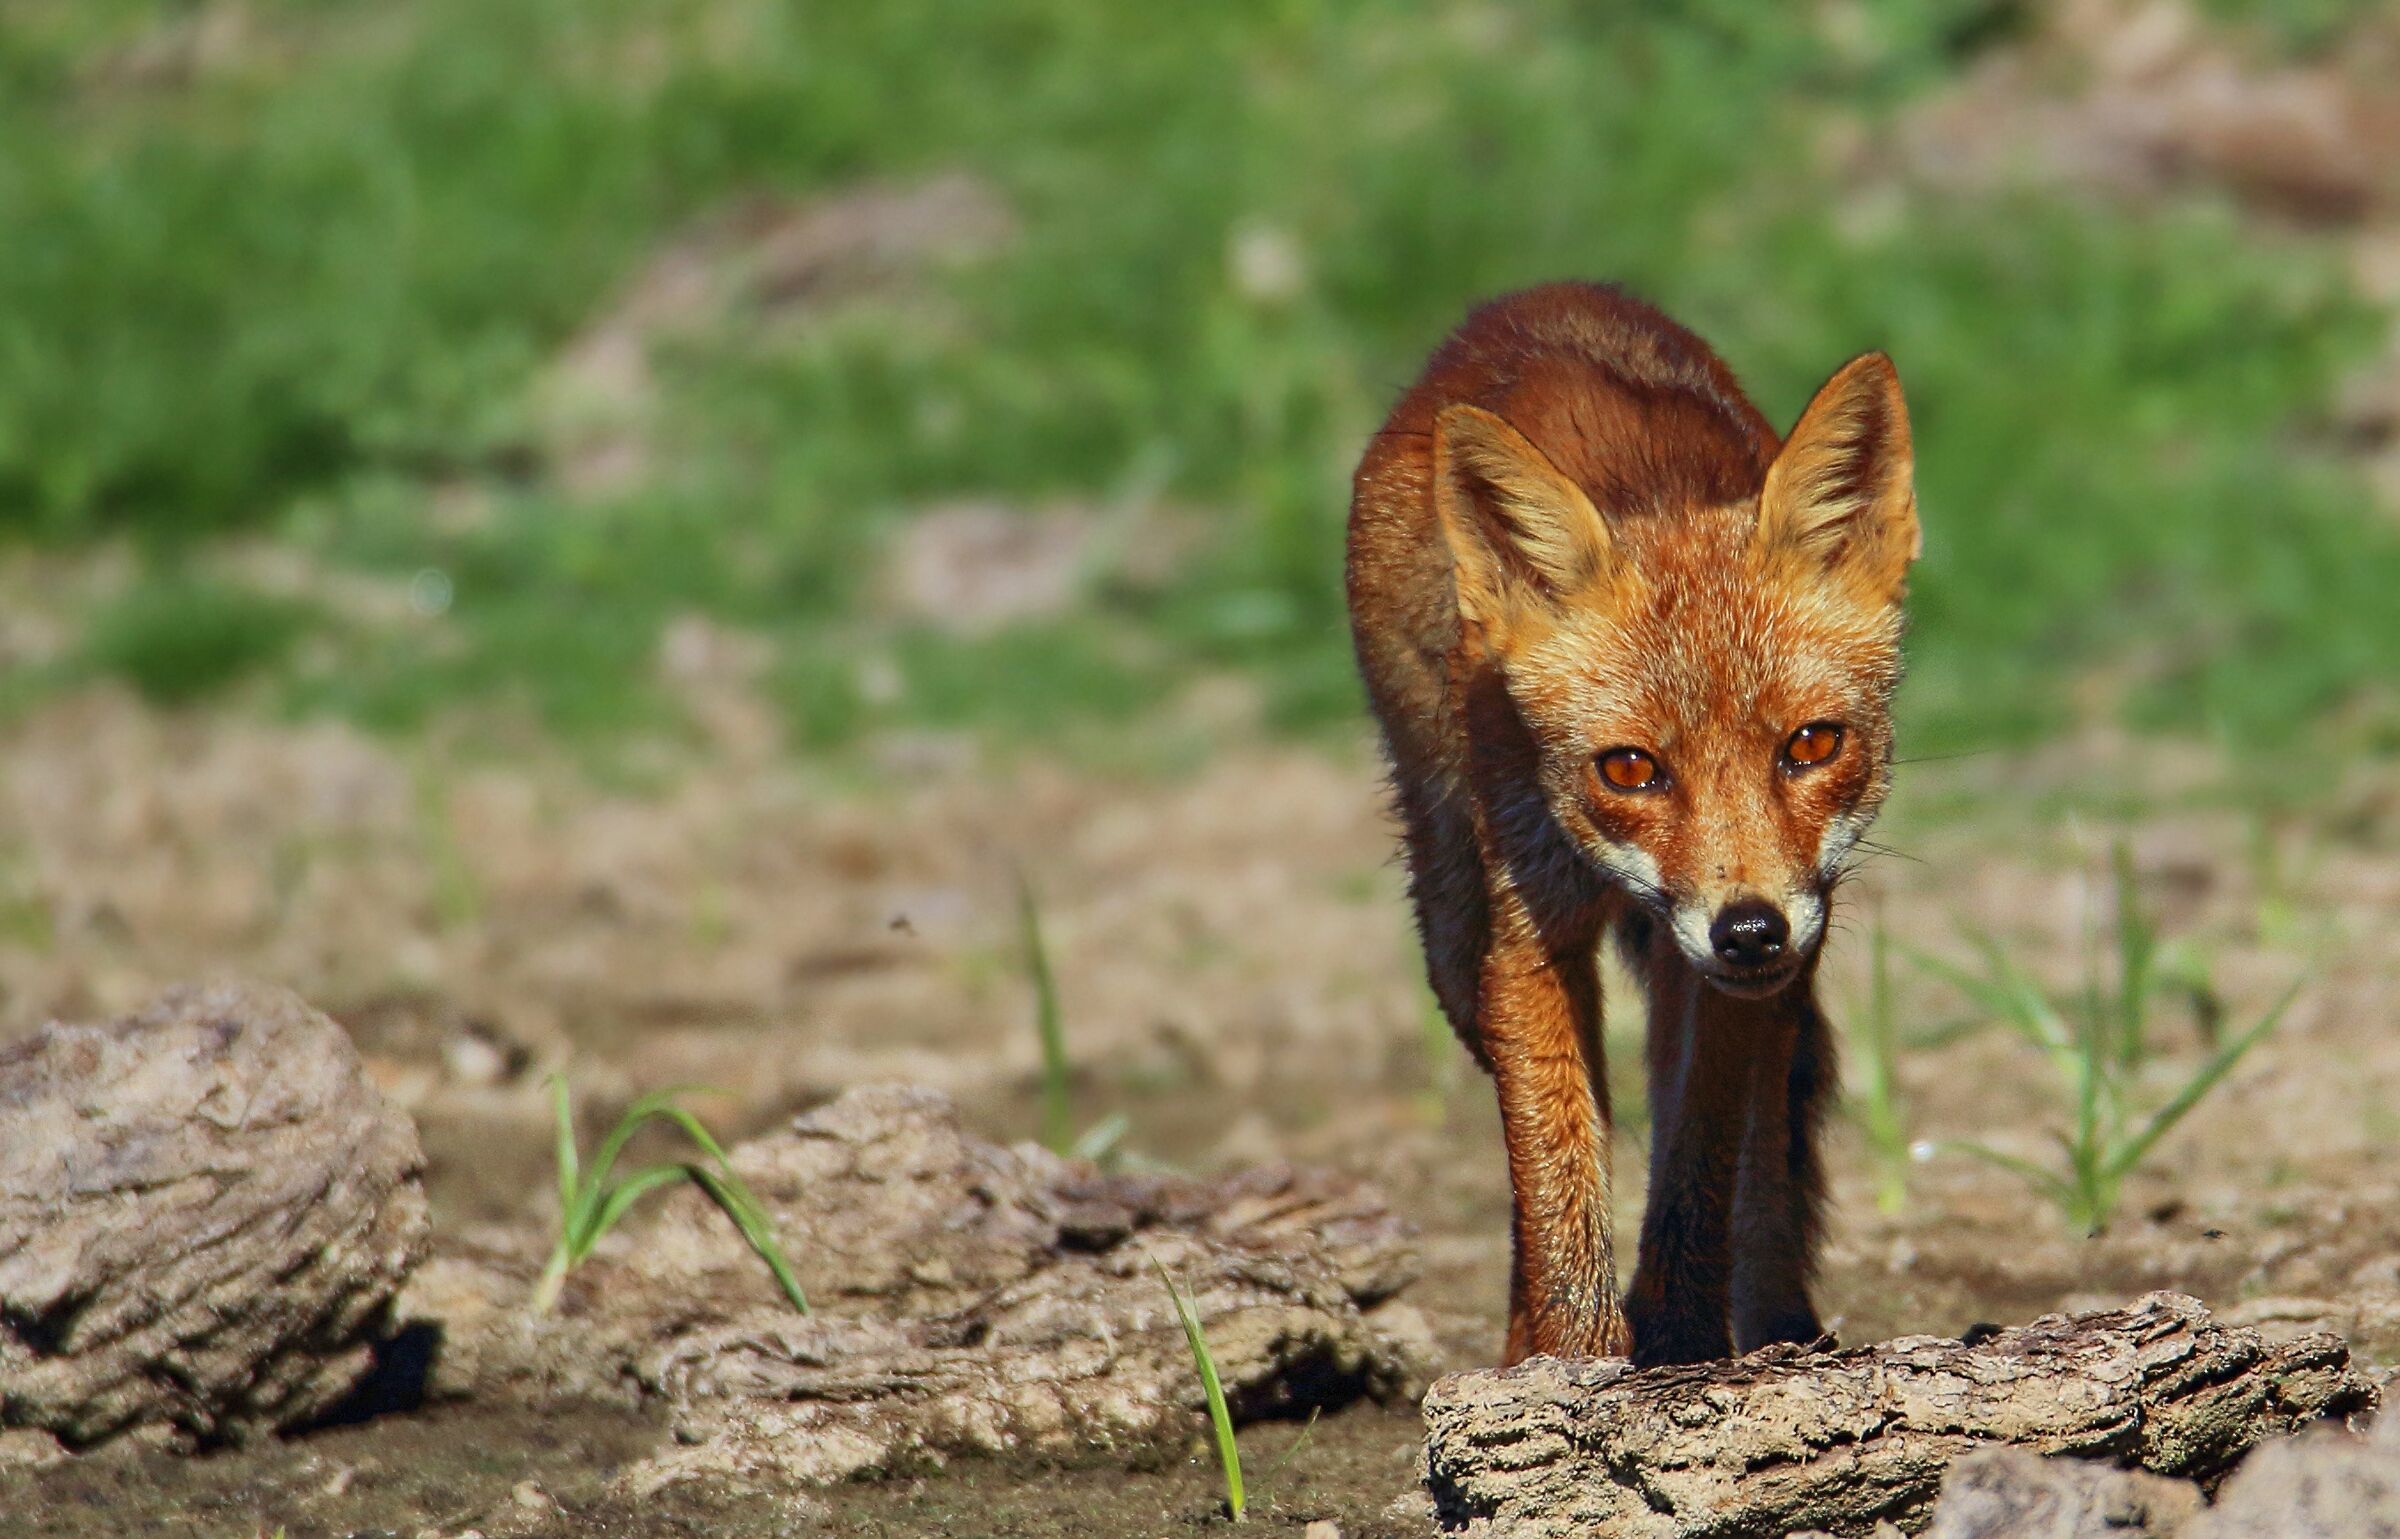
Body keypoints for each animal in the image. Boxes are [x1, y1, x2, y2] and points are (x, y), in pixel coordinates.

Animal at [1346, 282, 1918, 1367]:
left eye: (1811, 744)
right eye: (1629, 768)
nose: (1749, 930)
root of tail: (1537, 295)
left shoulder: (1744, 974)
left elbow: (1699, 1166)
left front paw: (1682, 1341)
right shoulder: (1527, 937)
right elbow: (1557, 1182)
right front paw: (1573, 1363)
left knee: (1755, 1147)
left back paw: (1773, 1317)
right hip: (1453, 931)